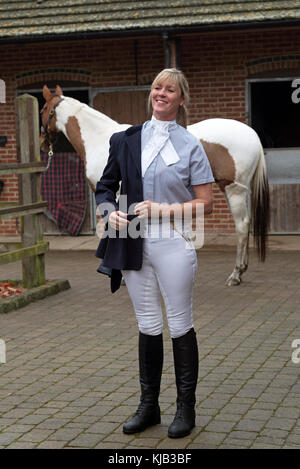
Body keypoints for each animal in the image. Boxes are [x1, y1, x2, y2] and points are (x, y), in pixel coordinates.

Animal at [39, 86, 270, 288]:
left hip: (234, 189)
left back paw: (236, 274)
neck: (99, 138)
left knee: (242, 226)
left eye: (42, 110)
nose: (42, 143)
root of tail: (252, 135)